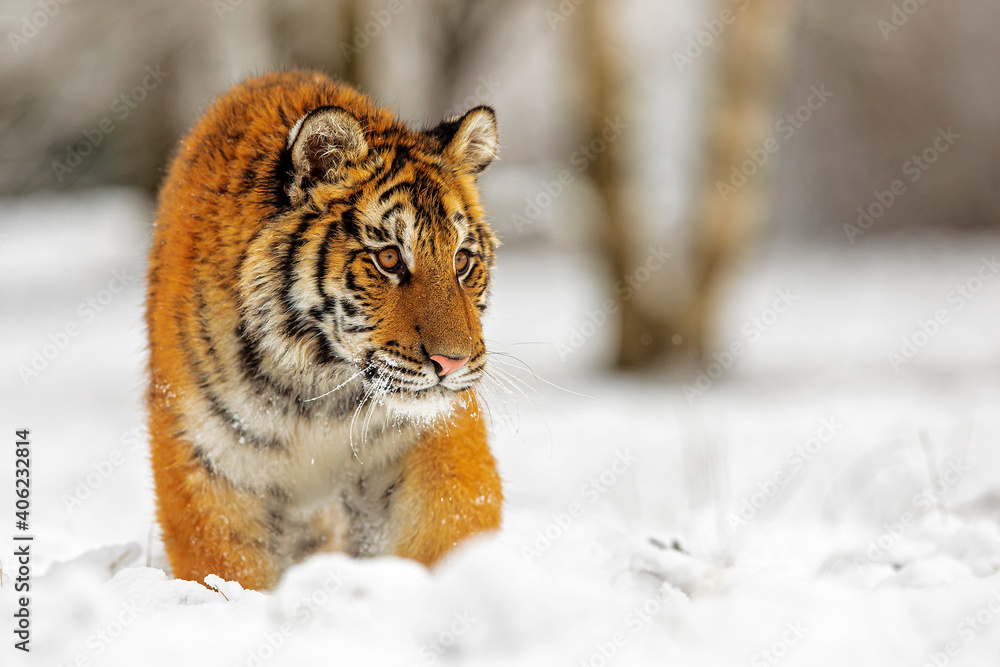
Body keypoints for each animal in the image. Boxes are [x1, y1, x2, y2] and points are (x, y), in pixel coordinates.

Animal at [145, 69, 503, 590]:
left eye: (461, 261)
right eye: (389, 258)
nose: (451, 362)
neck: (318, 389)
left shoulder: (434, 434)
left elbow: (451, 526)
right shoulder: (209, 462)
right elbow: (226, 570)